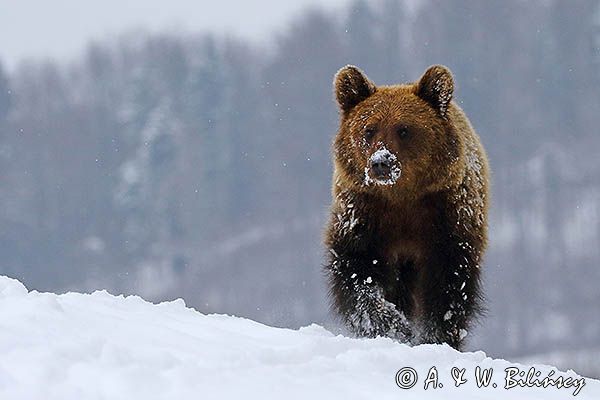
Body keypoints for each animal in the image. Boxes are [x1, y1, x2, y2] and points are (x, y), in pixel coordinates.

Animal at [324, 64, 488, 348]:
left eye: (404, 129)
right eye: (369, 129)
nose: (381, 162)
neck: (402, 197)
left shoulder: (447, 216)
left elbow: (448, 284)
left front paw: (436, 336)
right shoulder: (364, 214)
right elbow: (356, 271)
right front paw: (392, 325)